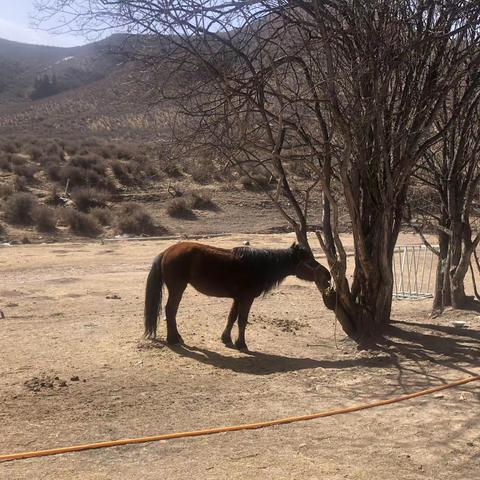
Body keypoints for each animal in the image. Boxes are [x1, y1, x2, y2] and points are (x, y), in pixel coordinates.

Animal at [142, 242, 330, 350]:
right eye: (310, 262)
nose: (328, 276)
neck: (259, 265)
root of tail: (167, 251)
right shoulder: (247, 298)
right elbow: (242, 320)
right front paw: (241, 344)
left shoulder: (238, 298)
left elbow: (232, 317)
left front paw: (226, 339)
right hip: (177, 288)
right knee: (170, 310)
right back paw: (173, 339)